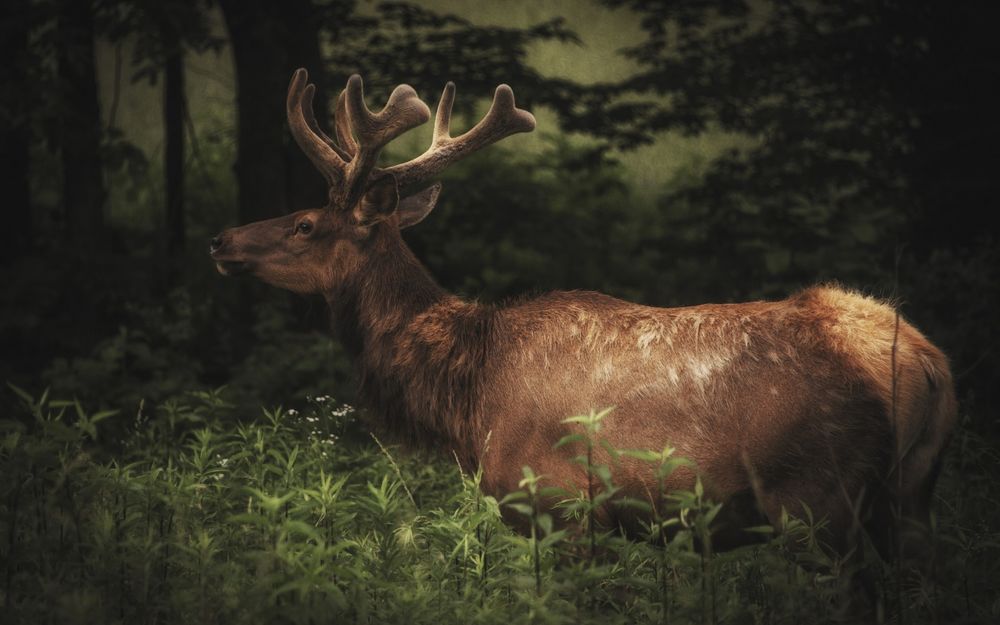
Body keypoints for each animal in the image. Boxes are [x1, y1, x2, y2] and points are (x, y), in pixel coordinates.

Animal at [210, 68, 957, 563]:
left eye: (305, 223)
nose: (222, 241)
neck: (466, 394)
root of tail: (930, 365)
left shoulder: (557, 506)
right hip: (913, 500)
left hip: (815, 497)